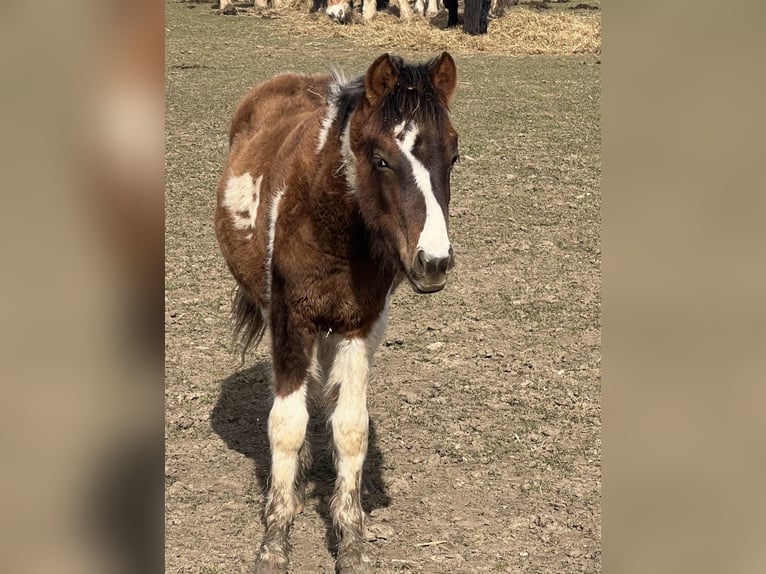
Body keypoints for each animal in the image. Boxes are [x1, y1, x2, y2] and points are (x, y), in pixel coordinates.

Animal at [215, 53, 459, 573]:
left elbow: (350, 428)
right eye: (381, 159)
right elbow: (285, 426)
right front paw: (275, 539)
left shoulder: (360, 326)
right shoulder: (290, 321)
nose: (434, 262)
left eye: (454, 156)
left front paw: (351, 541)